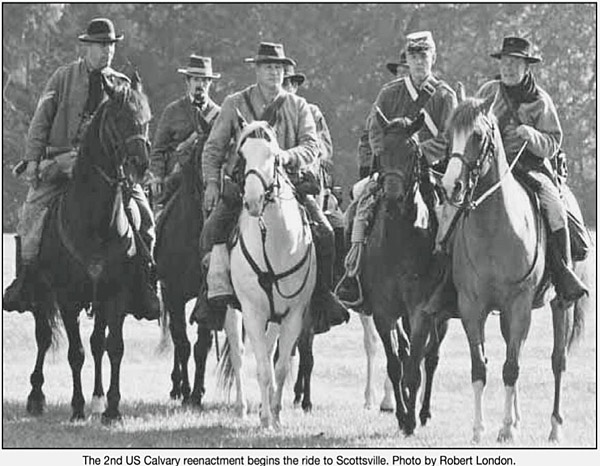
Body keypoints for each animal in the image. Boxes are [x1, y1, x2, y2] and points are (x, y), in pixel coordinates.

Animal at [230, 119, 316, 426]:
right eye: (242, 156)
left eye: (275, 157)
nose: (254, 201)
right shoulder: (253, 313)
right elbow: (263, 369)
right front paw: (265, 418)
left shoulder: (293, 315)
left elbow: (278, 368)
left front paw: (275, 415)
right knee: (239, 354)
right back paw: (243, 407)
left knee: (267, 352)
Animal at [440, 95, 592, 444]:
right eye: (449, 133)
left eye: (477, 136)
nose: (451, 185)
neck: (496, 227)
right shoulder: (472, 308)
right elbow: (480, 367)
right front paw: (480, 429)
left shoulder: (520, 304)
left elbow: (511, 367)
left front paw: (506, 430)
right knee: (517, 351)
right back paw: (514, 421)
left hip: (560, 304)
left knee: (557, 361)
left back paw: (554, 427)